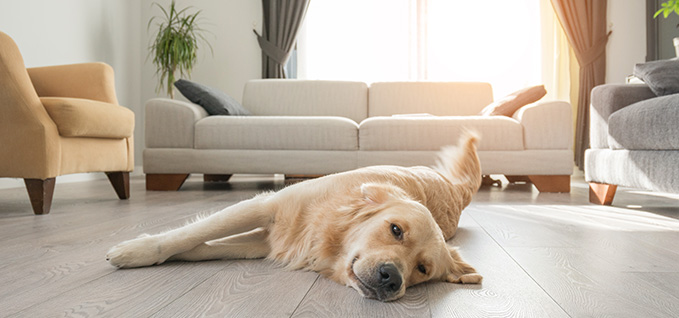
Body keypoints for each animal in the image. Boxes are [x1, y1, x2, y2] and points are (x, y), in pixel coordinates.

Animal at [106, 133, 484, 302]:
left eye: (422, 269)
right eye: (395, 230)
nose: (392, 278)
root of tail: (454, 188)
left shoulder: (263, 243)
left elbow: (204, 245)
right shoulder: (266, 207)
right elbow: (191, 235)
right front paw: (137, 250)